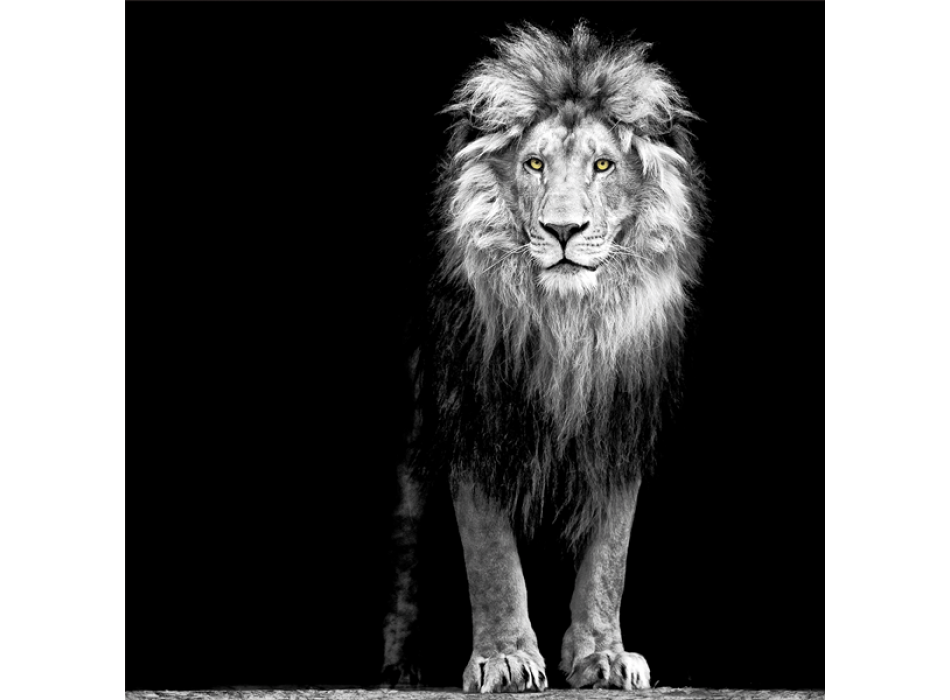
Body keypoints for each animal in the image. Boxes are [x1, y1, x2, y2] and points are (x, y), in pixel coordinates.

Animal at [382, 22, 706, 692]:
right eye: (534, 164)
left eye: (603, 165)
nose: (562, 230)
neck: (567, 326)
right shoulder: (474, 419)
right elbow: (492, 559)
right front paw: (504, 658)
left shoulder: (618, 425)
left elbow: (610, 558)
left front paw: (603, 656)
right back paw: (403, 666)